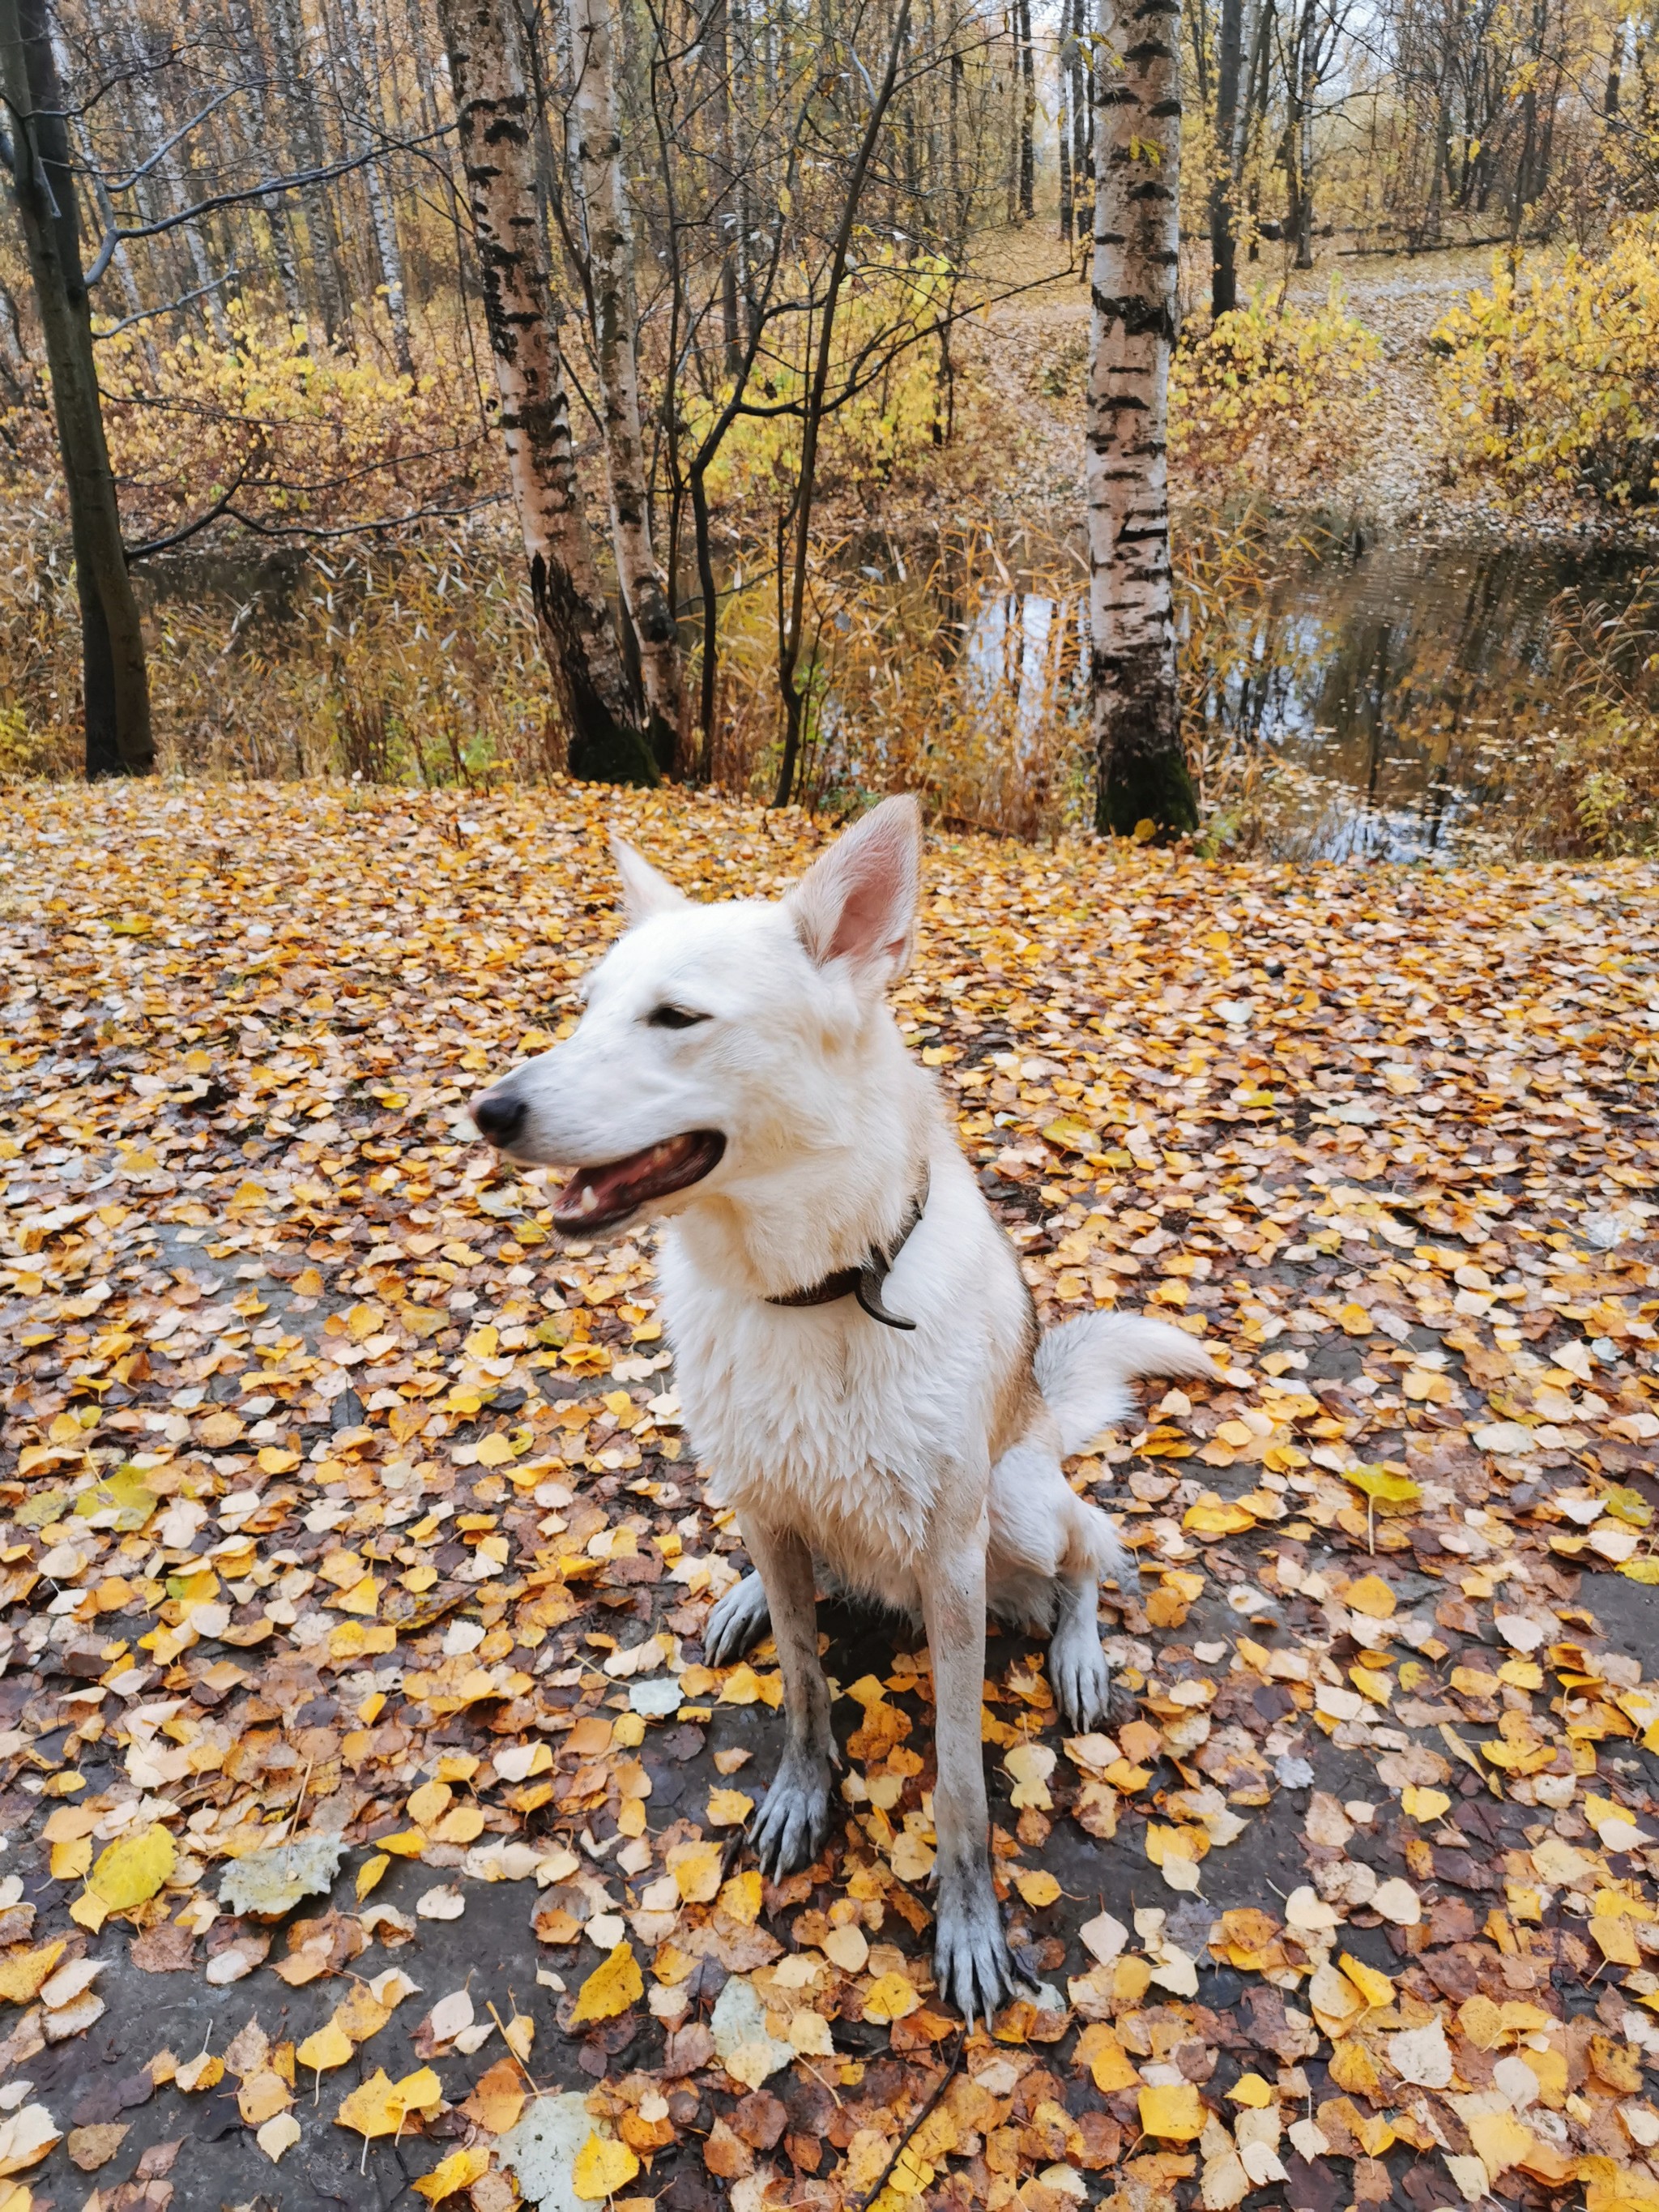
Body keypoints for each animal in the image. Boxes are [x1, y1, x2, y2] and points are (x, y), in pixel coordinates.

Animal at [473, 801, 1212, 2026]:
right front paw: (800, 1791)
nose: (489, 1111)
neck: (815, 1295)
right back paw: (745, 1600)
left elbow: (960, 1783)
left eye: (675, 1017)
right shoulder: (771, 1509)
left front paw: (970, 1922)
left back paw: (1077, 1649)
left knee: (1091, 1557)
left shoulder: (954, 1557)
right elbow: (806, 1689)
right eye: (586, 1007)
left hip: (1017, 1501)